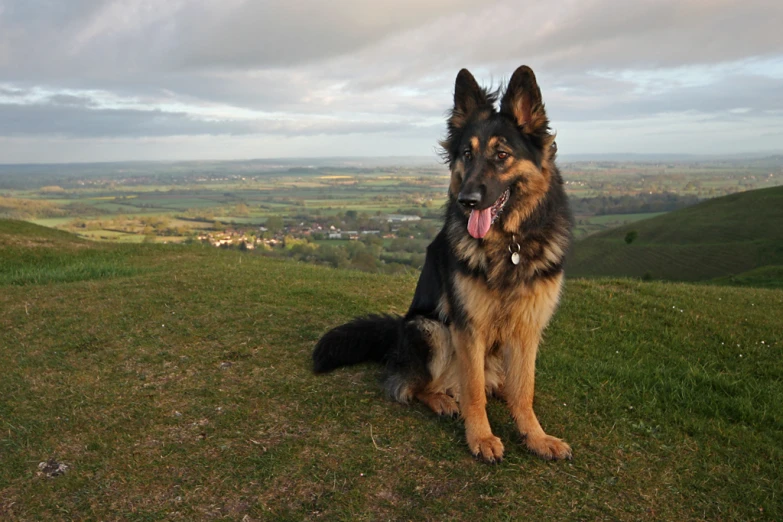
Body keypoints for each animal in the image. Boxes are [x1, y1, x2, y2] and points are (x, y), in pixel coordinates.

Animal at [312, 65, 576, 460]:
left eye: (502, 155)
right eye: (466, 153)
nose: (467, 200)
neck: (507, 244)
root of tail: (395, 334)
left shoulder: (528, 327)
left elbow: (524, 390)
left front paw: (536, 436)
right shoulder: (468, 326)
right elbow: (473, 390)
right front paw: (481, 437)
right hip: (430, 329)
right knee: (412, 385)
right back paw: (442, 400)